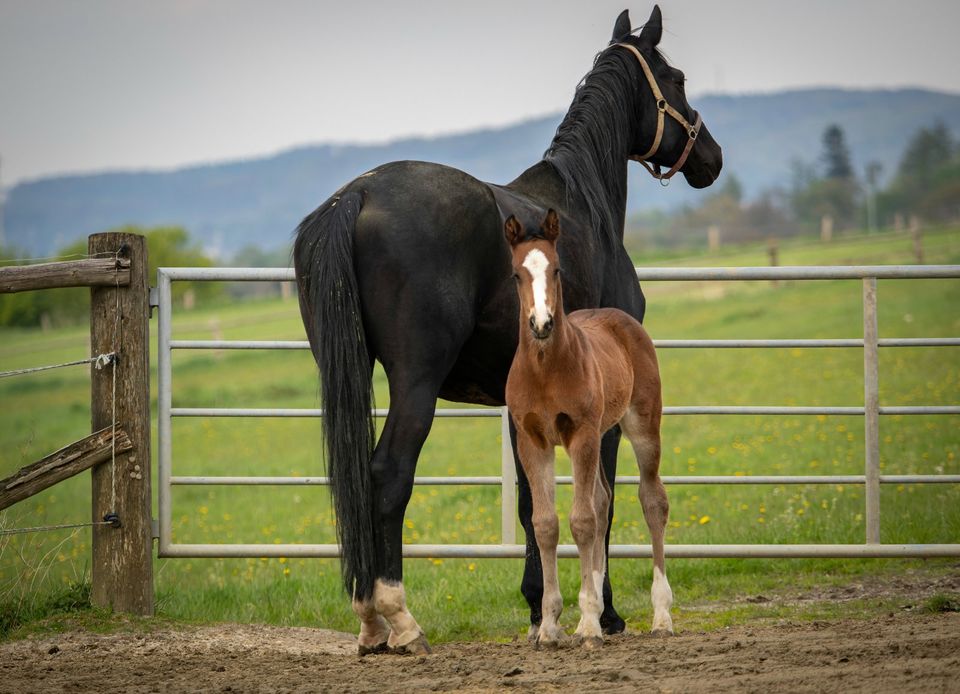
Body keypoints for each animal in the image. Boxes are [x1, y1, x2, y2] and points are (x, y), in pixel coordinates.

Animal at [506, 212, 672, 652]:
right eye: (516, 274)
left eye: (557, 269)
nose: (541, 324)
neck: (546, 369)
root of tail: (620, 316)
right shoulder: (533, 440)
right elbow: (546, 524)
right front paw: (550, 627)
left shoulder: (580, 433)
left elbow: (581, 520)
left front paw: (588, 627)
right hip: (603, 432)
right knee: (602, 499)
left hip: (640, 425)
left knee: (652, 501)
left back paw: (661, 615)